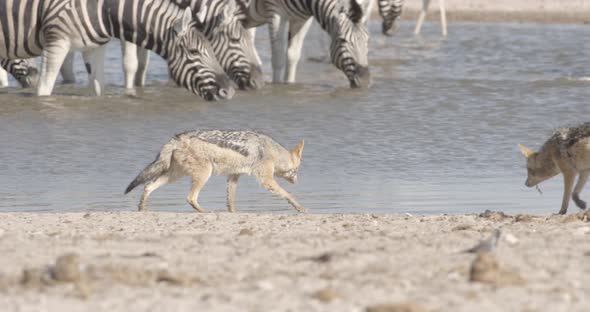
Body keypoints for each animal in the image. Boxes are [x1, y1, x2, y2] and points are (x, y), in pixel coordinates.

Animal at [0, 0, 236, 100]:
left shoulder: (94, 48)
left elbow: (98, 88)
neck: (104, 11)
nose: (230, 91)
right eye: (194, 52)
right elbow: (44, 89)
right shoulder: (57, 42)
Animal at [238, 0, 372, 88]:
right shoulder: (276, 12)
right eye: (342, 40)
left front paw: (289, 85)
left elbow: (293, 55)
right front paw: (276, 86)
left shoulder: (302, 19)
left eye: (367, 41)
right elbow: (278, 58)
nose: (365, 81)